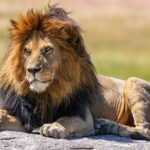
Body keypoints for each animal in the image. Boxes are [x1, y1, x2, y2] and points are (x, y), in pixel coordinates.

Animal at [0, 4, 149, 141]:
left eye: (47, 50)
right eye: (27, 51)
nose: (32, 70)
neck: (45, 94)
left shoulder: (82, 115)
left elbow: (65, 120)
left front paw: (53, 127)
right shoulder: (24, 115)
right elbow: (4, 114)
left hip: (133, 81)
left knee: (145, 130)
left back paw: (109, 126)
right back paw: (105, 125)